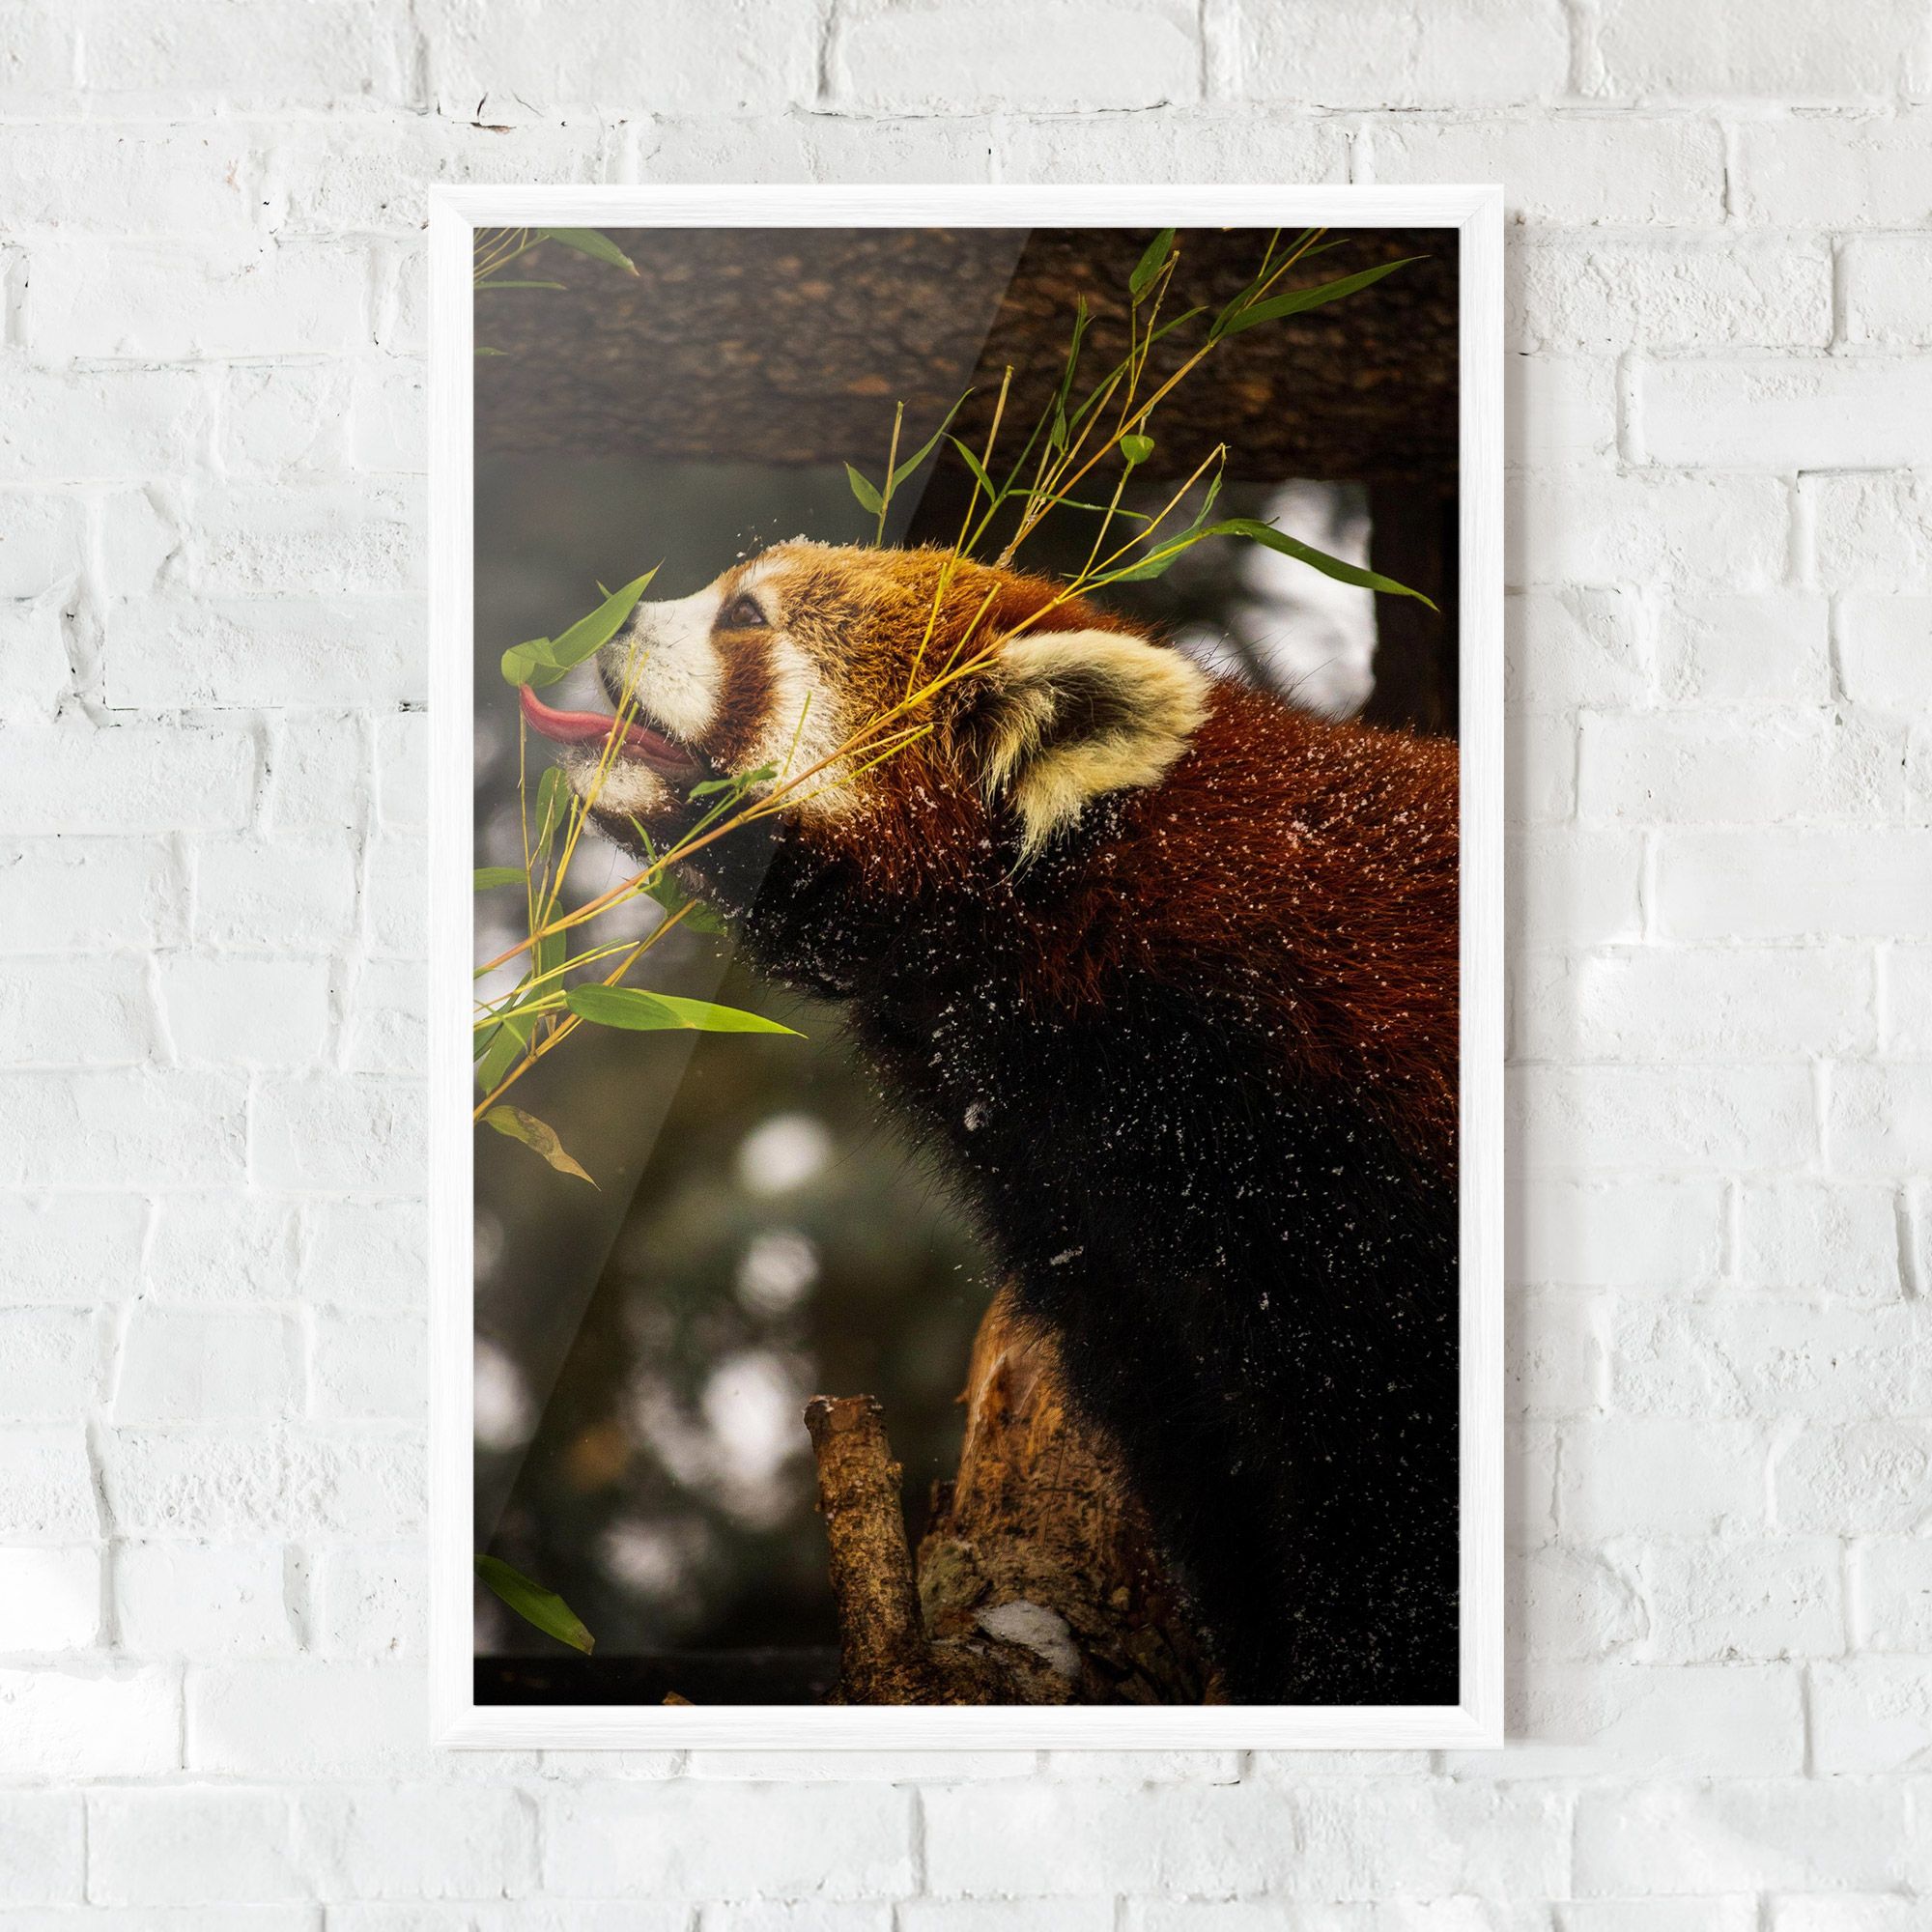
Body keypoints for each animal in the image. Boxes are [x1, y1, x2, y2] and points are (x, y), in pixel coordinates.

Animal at [521, 539, 1461, 1706]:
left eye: (745, 616)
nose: (604, 621)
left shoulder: (1346, 1165)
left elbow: (1391, 1493)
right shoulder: (1091, 1219)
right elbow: (1202, 1456)